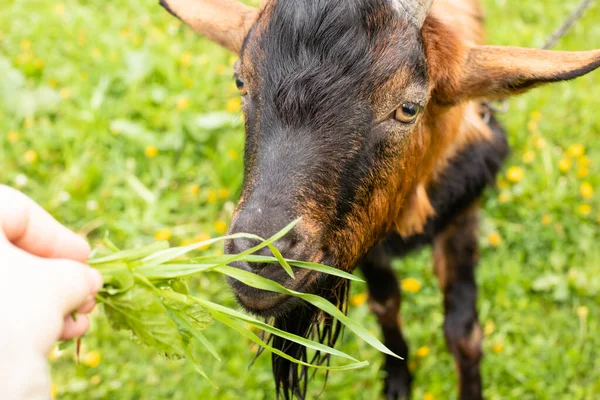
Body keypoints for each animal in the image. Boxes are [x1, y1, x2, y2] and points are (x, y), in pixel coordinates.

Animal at [161, 1, 600, 398]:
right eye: (240, 82)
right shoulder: (365, 235)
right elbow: (386, 304)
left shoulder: (460, 216)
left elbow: (463, 332)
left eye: (408, 108)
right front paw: (397, 381)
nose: (261, 256)